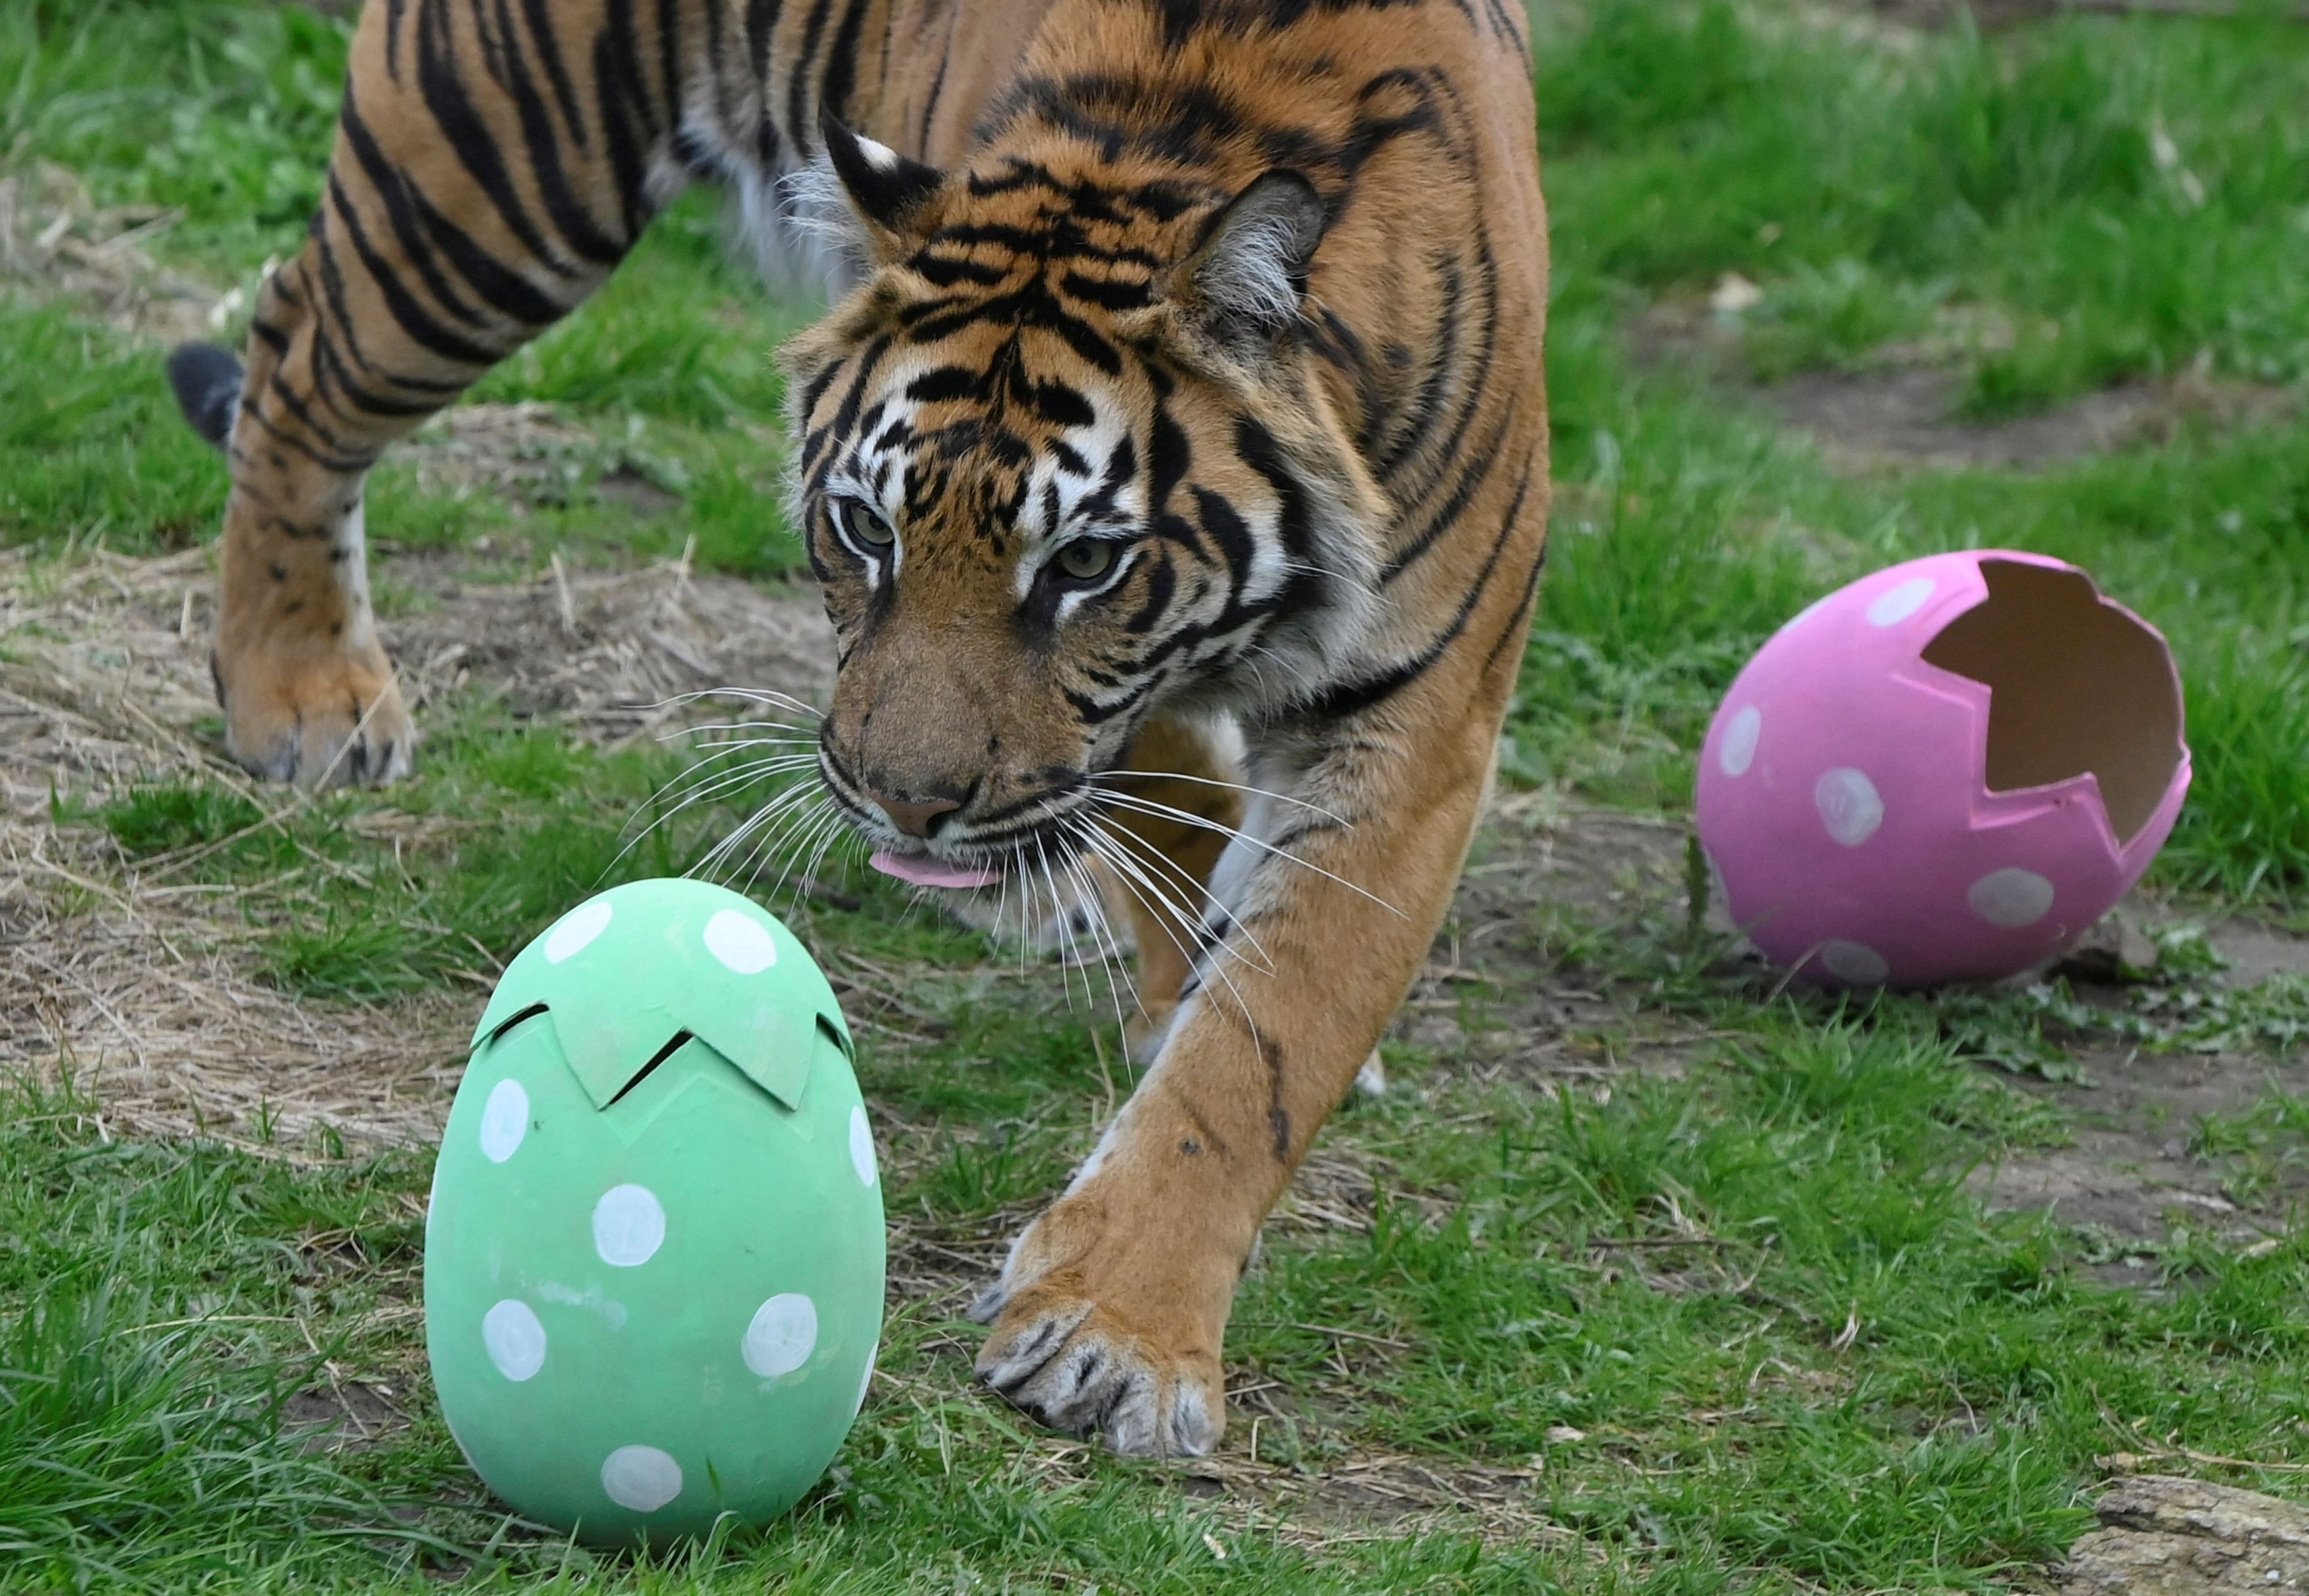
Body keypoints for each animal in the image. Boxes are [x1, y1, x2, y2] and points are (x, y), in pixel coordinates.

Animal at [167, 0, 1552, 1459]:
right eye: (865, 526)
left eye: (1085, 561)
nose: (906, 804)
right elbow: (1181, 839)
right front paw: (1118, 1323)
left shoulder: (1418, 716)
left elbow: (1263, 1037)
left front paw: (1116, 1319)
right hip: (491, 179)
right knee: (298, 342)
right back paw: (301, 690)